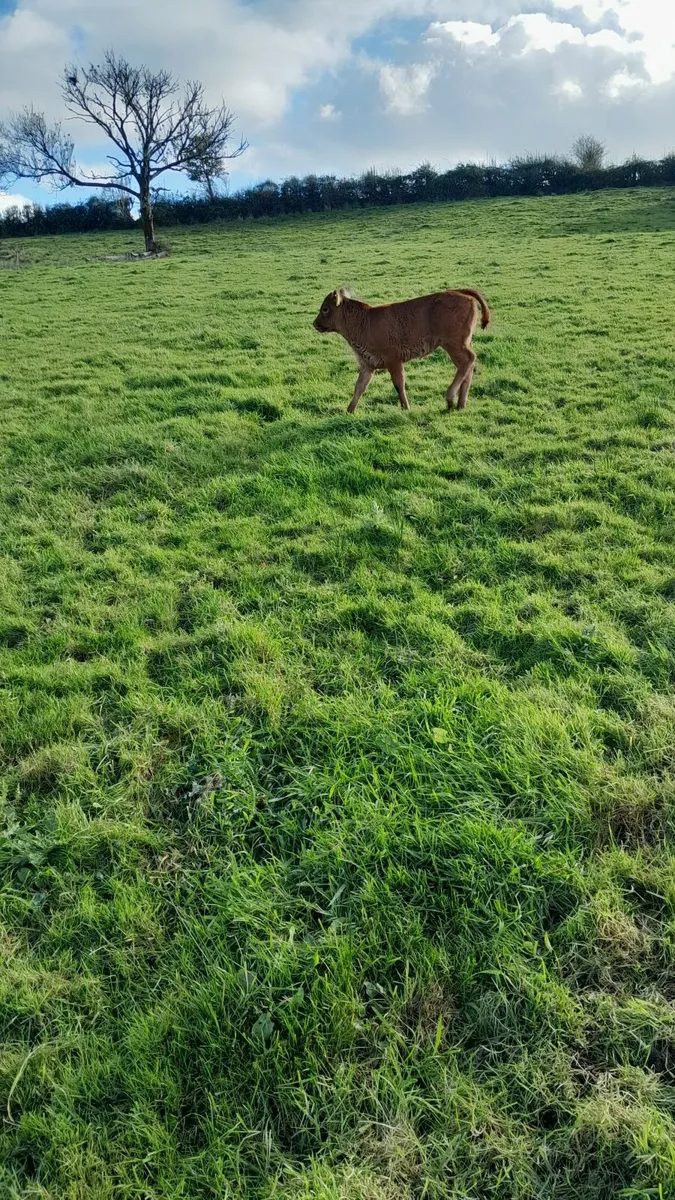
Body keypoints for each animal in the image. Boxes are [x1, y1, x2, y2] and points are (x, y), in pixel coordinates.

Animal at [313, 286, 490, 413]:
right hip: (458, 345)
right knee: (467, 366)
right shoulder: (368, 365)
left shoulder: (394, 362)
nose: (314, 323)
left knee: (469, 360)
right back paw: (460, 404)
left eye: (325, 309)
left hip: (453, 344)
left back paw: (450, 399)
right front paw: (349, 411)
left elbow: (399, 384)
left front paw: (405, 407)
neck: (364, 322)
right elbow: (359, 388)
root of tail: (459, 292)